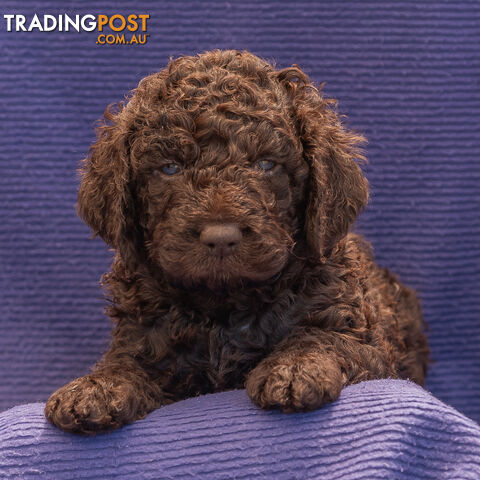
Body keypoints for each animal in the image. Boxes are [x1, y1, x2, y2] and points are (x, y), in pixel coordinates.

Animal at [44, 49, 428, 436]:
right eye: (170, 168)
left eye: (266, 164)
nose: (220, 237)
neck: (224, 307)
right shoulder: (141, 334)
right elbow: (126, 361)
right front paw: (97, 387)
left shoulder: (364, 339)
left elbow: (324, 337)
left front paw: (294, 368)